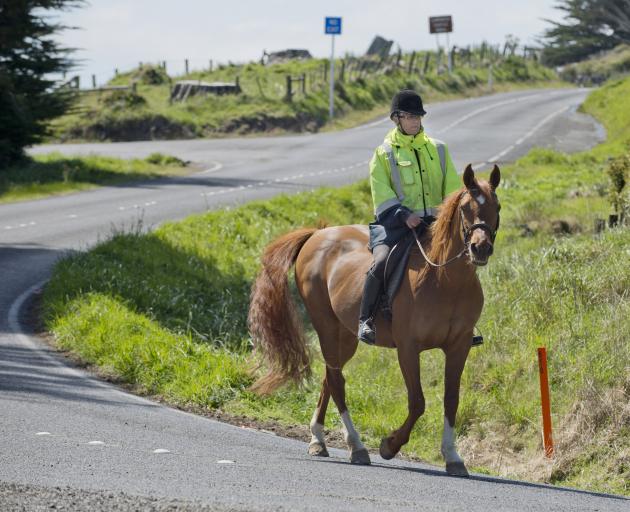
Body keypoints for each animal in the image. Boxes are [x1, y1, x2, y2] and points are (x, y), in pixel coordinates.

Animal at [249, 164, 502, 476]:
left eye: (497, 207)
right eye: (466, 208)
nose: (481, 248)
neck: (446, 280)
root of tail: (317, 235)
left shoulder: (459, 346)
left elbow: (451, 400)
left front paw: (453, 456)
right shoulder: (408, 348)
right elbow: (417, 402)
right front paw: (390, 446)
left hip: (346, 336)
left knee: (330, 376)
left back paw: (318, 439)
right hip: (326, 327)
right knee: (337, 382)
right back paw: (356, 446)